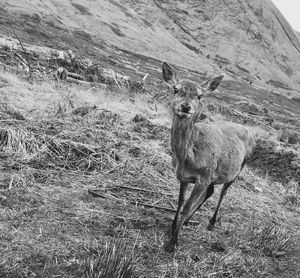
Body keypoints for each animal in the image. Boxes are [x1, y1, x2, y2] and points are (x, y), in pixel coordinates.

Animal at [162, 62, 255, 253]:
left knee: (223, 192)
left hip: (238, 168)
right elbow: (180, 201)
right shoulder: (184, 177)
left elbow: (187, 205)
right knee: (211, 190)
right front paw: (173, 227)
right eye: (175, 89)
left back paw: (211, 223)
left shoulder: (203, 176)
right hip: (215, 173)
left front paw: (173, 242)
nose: (186, 107)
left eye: (200, 95)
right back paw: (188, 221)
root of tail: (251, 133)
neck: (186, 158)